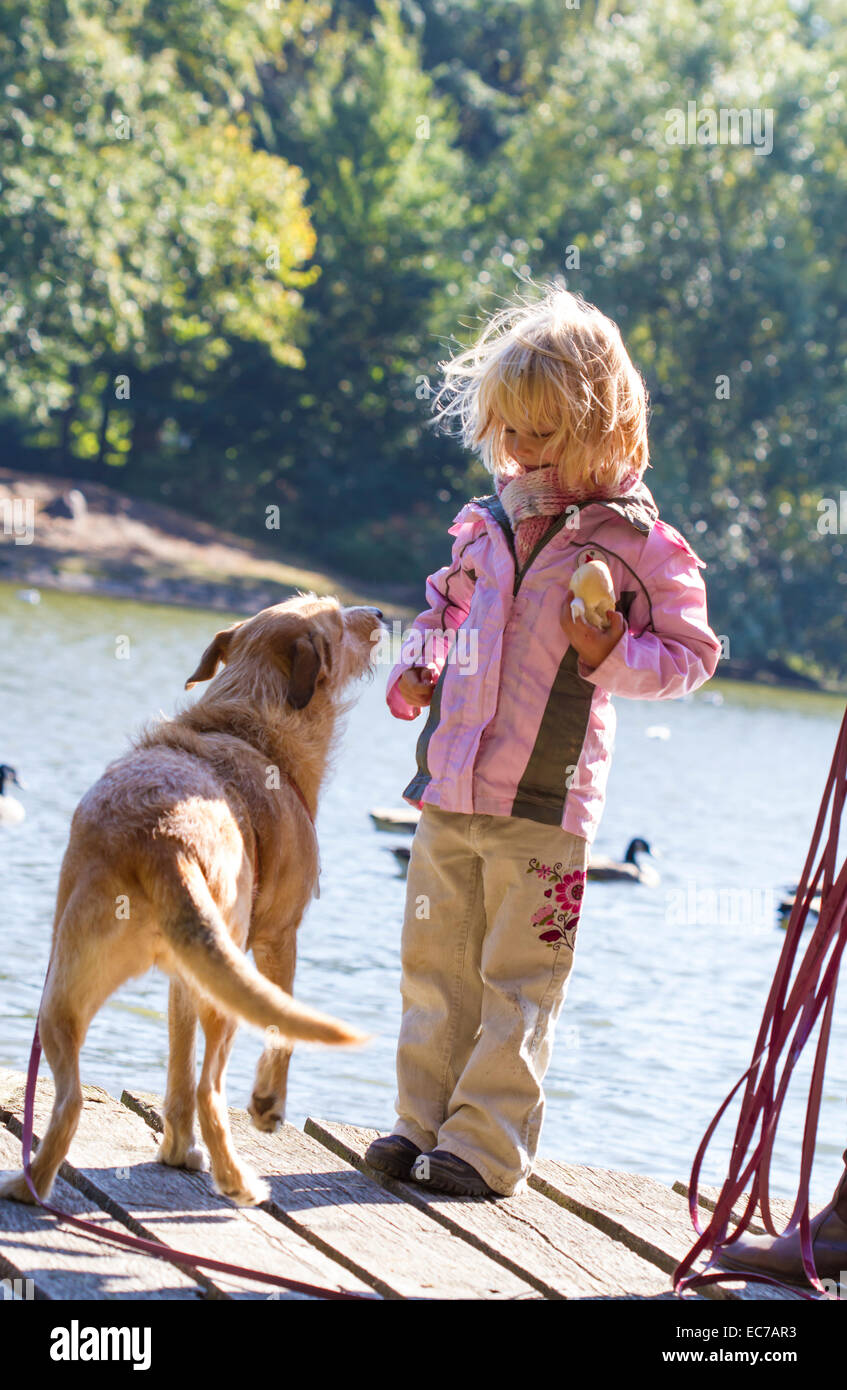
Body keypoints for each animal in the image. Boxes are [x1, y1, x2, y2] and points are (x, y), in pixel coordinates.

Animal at [0, 594, 383, 1206]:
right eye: (338, 618)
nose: (378, 614)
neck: (253, 721)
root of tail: (161, 839)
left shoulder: (189, 974)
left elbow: (177, 1067)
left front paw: (178, 1150)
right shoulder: (278, 938)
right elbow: (274, 1040)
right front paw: (267, 1106)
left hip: (64, 994)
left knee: (72, 1099)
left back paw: (28, 1185)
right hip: (225, 995)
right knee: (212, 1089)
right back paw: (240, 1183)